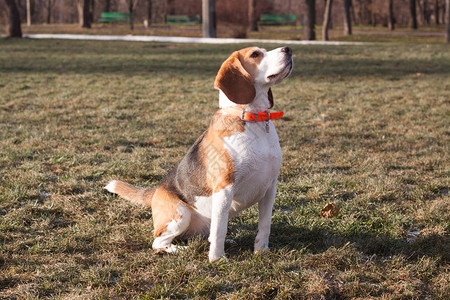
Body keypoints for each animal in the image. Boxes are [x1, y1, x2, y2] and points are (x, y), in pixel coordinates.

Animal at [106, 45, 296, 262]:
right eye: (255, 54)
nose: (288, 49)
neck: (252, 119)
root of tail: (155, 193)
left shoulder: (269, 188)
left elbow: (264, 226)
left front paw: (261, 252)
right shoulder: (224, 189)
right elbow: (220, 229)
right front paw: (217, 259)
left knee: (206, 233)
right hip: (181, 214)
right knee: (159, 243)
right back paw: (184, 249)